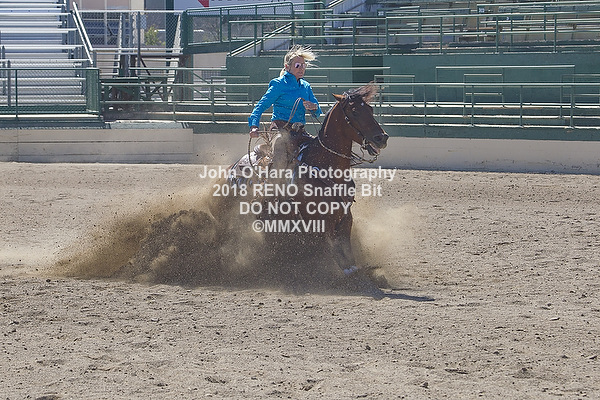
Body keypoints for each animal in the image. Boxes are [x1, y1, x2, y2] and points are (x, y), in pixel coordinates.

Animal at [221, 83, 389, 294]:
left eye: (371, 109)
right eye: (355, 111)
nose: (382, 138)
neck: (324, 167)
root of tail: (234, 167)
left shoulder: (345, 219)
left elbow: (349, 257)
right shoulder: (323, 225)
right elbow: (342, 260)